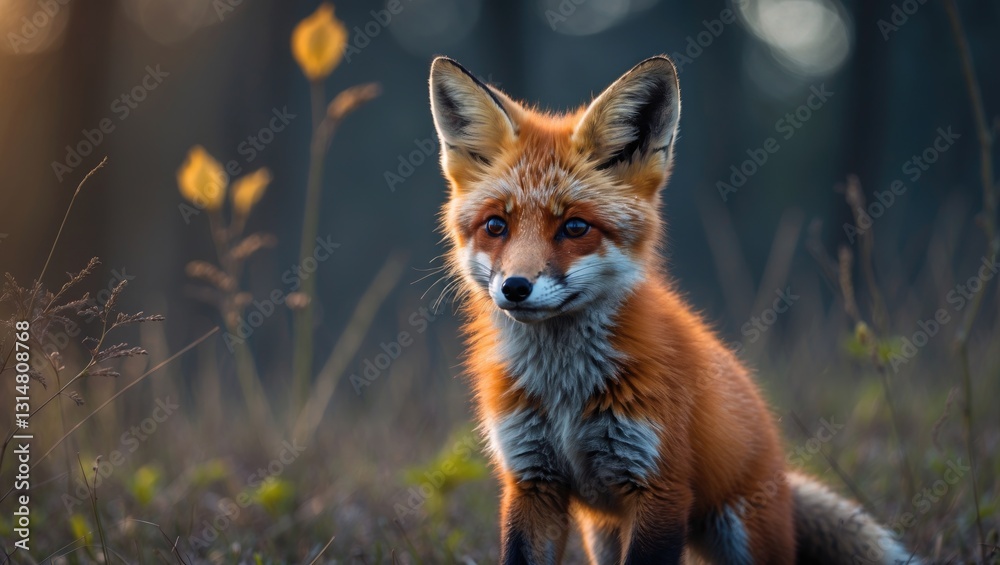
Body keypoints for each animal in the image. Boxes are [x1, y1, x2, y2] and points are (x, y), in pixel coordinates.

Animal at [428, 55, 919, 564]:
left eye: (575, 227)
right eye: (495, 226)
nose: (515, 287)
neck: (564, 392)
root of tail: (782, 468)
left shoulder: (659, 486)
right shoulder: (532, 482)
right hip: (603, 535)